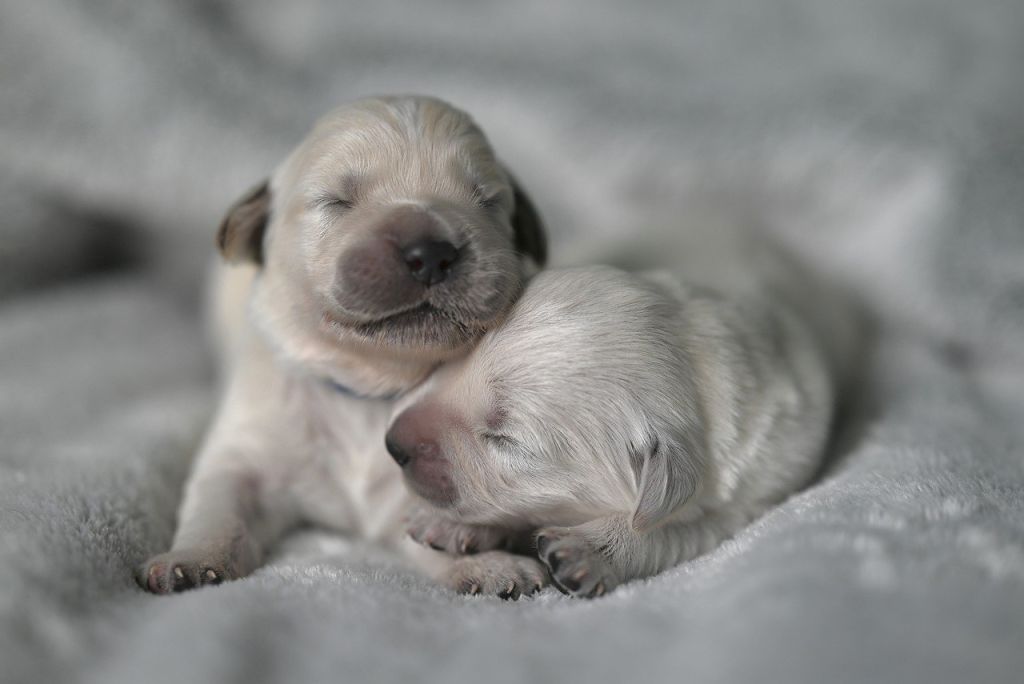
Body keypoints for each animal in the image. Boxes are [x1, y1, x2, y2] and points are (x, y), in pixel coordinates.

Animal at [141, 96, 552, 597]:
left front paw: (487, 563)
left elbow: (433, 524)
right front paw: (191, 560)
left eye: (487, 201)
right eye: (336, 201)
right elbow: (218, 507)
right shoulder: (245, 450)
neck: (366, 387)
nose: (431, 252)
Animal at [385, 229, 856, 593]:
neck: (696, 359)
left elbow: (671, 531)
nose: (392, 445)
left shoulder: (750, 496)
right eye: (465, 357)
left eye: (506, 440)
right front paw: (449, 525)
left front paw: (591, 550)